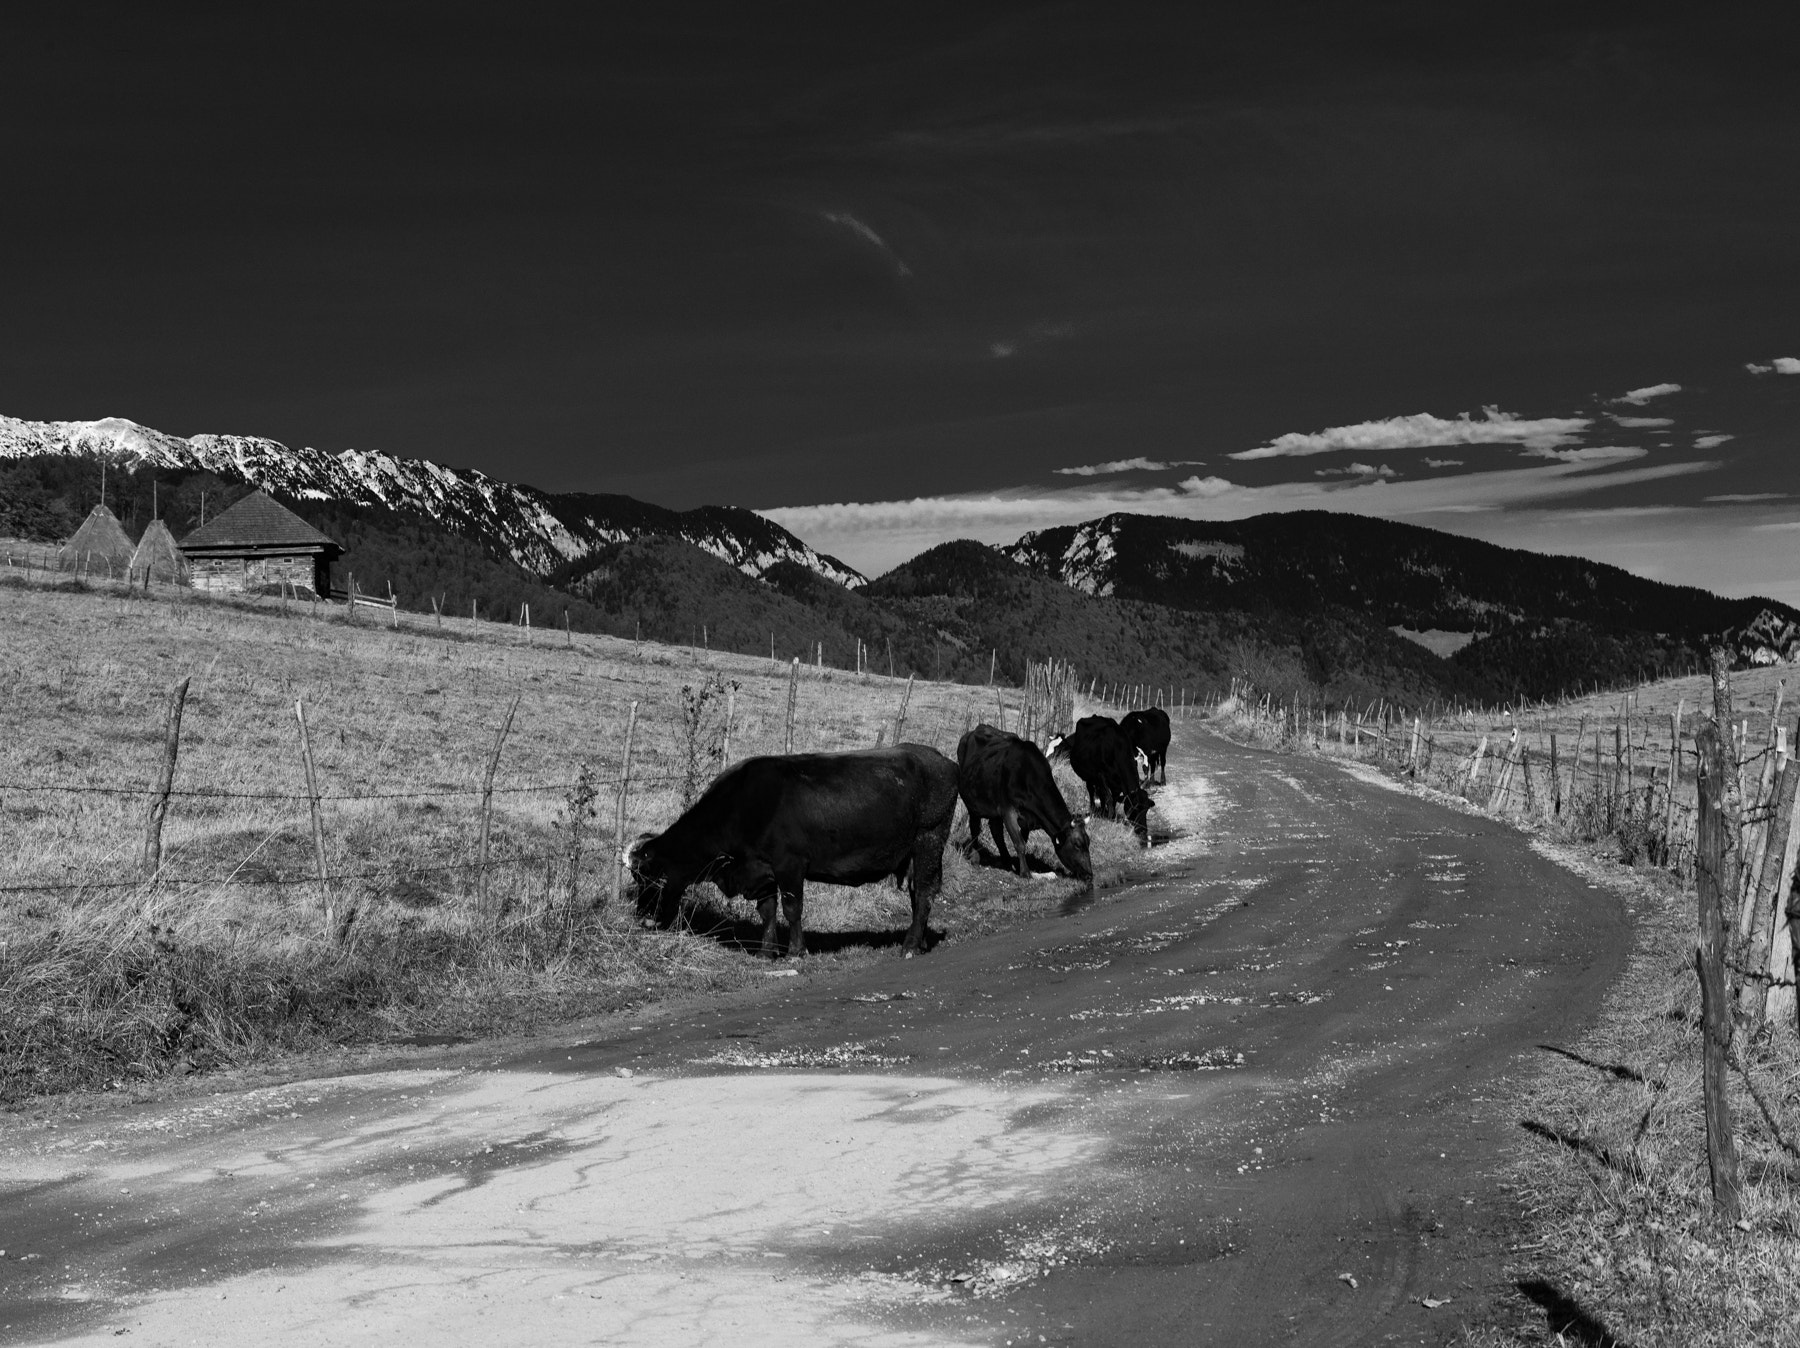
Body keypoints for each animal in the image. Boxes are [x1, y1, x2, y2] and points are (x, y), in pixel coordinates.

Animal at [626, 745, 957, 957]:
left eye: (655, 879)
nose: (643, 918)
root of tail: (941, 760)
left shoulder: (790, 866)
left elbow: (792, 908)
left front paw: (796, 950)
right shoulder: (761, 871)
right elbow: (767, 911)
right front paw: (766, 951)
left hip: (929, 840)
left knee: (924, 892)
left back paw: (910, 946)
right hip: (915, 853)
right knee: (918, 893)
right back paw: (920, 941)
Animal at [964, 727, 1087, 881]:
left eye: (1088, 842)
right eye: (1077, 845)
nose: (1090, 873)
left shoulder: (1028, 818)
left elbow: (1023, 841)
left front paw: (1019, 866)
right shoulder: (1008, 811)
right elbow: (1020, 843)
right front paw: (1025, 872)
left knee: (995, 831)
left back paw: (1007, 862)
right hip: (973, 802)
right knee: (975, 827)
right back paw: (975, 857)